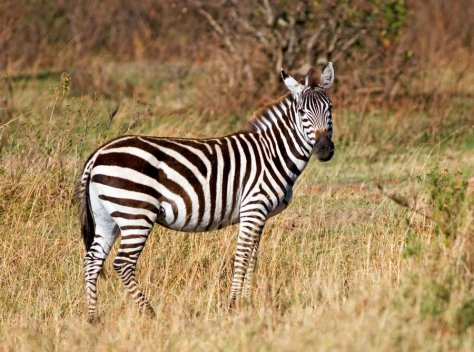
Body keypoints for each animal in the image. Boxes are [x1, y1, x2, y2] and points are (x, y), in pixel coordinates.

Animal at [77, 62, 334, 322]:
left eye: (330, 108)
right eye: (301, 112)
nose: (324, 150)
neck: (272, 153)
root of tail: (98, 153)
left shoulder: (260, 215)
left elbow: (253, 258)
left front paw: (248, 302)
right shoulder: (253, 208)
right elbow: (242, 257)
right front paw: (233, 304)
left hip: (108, 216)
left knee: (92, 260)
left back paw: (93, 318)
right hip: (136, 213)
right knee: (123, 263)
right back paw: (150, 313)